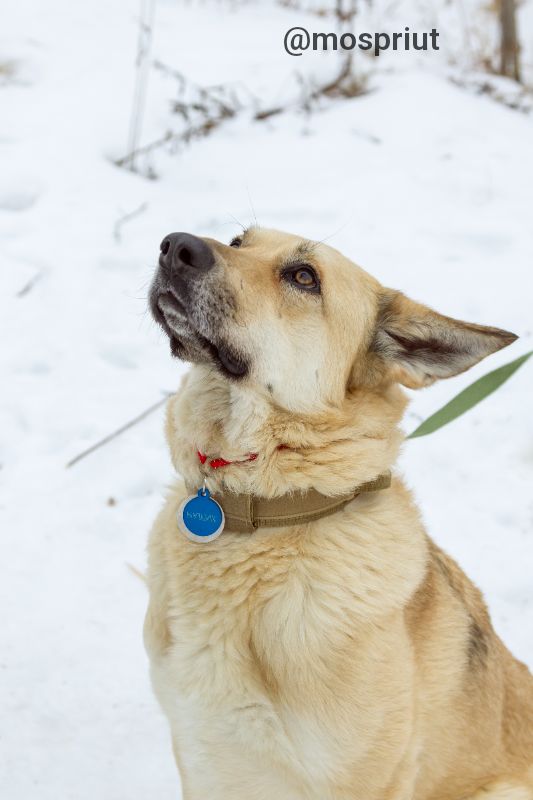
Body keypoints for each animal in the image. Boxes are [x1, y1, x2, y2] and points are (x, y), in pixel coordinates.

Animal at [143, 227, 528, 800]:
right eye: (239, 239)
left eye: (304, 277)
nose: (175, 245)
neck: (271, 513)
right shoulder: (205, 753)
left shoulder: (364, 778)